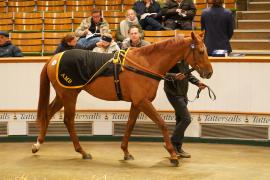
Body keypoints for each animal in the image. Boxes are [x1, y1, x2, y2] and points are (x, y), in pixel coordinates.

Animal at [32, 31, 213, 165]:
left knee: (48, 114)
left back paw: (37, 145)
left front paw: (126, 152)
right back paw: (82, 152)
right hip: (69, 95)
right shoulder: (143, 102)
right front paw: (173, 155)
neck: (146, 63)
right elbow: (162, 124)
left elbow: (130, 125)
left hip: (63, 95)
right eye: (201, 51)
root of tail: (54, 58)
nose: (209, 72)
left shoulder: (137, 103)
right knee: (68, 120)